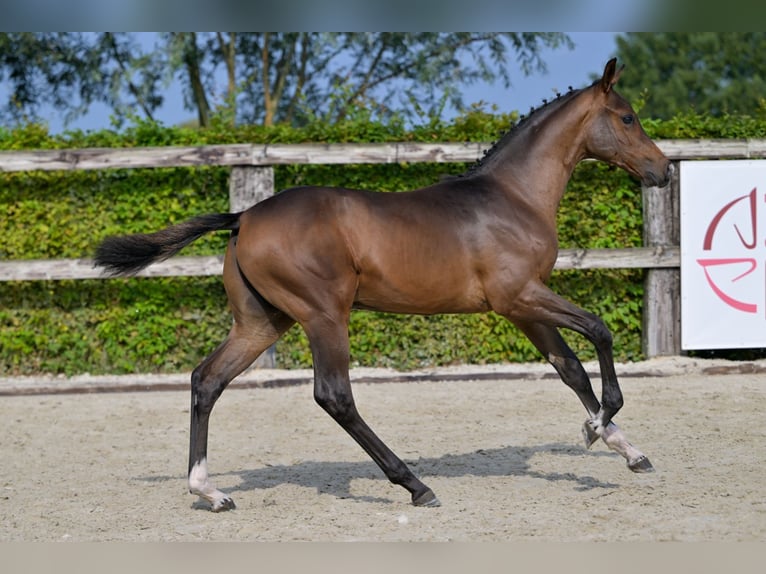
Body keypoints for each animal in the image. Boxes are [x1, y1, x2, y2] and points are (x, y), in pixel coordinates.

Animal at [94, 59, 672, 512]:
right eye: (627, 117)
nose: (663, 170)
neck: (512, 197)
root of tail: (243, 217)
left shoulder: (521, 307)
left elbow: (568, 367)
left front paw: (627, 449)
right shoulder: (519, 296)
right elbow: (598, 330)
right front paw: (598, 425)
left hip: (261, 322)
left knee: (206, 380)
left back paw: (209, 491)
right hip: (324, 315)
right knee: (334, 396)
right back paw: (415, 484)